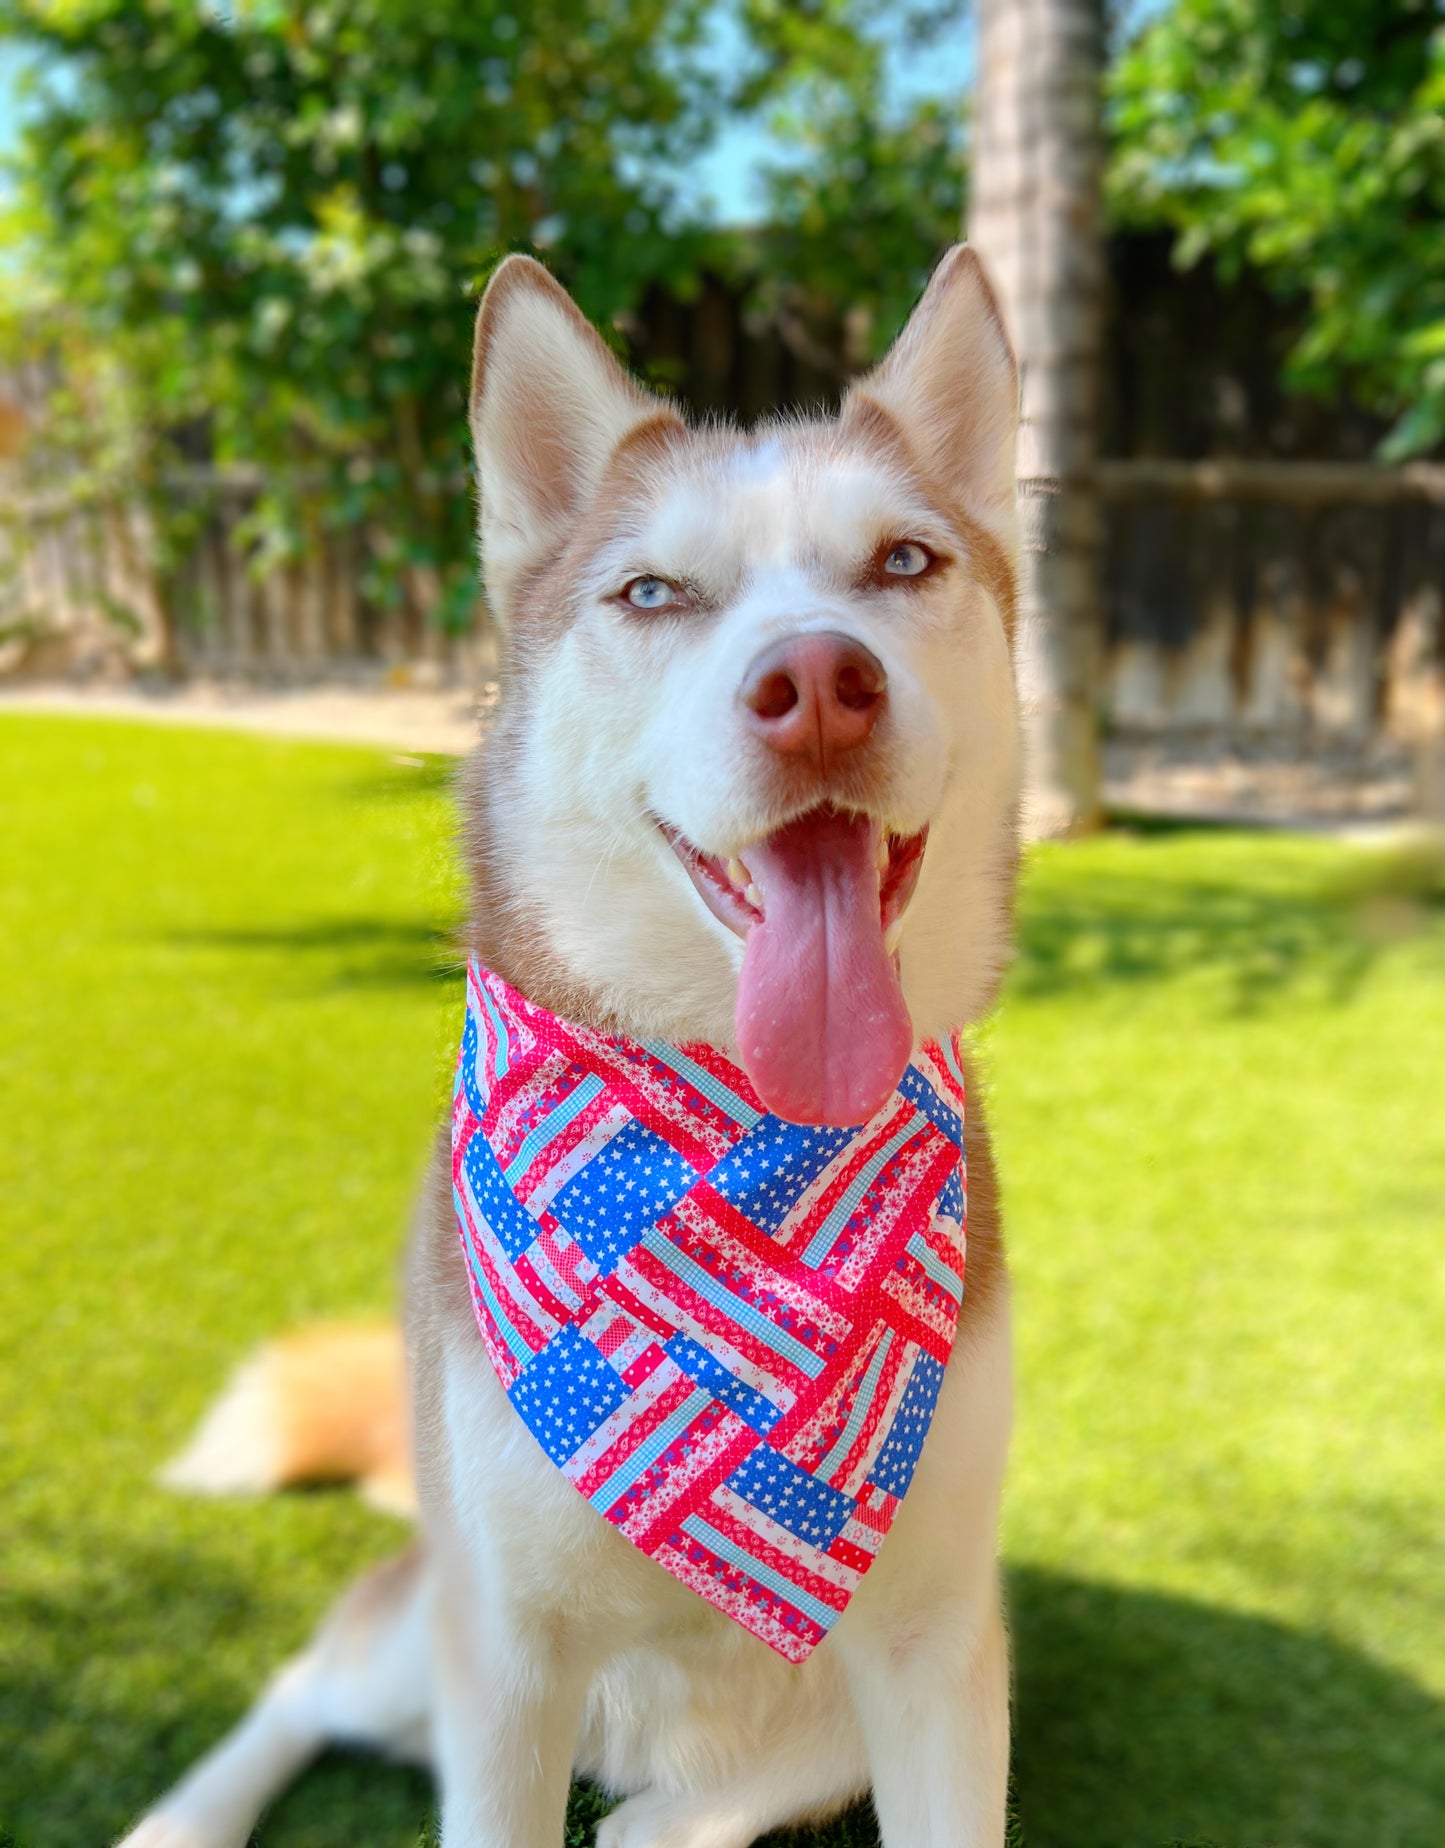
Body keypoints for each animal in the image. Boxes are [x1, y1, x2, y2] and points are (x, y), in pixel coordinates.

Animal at [127, 245, 1027, 1848]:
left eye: (903, 565)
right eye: (653, 591)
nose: (817, 684)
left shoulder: (936, 1656)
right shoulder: (501, 1660)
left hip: (832, 1730)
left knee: (663, 1812)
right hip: (422, 1645)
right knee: (308, 1679)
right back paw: (185, 1820)